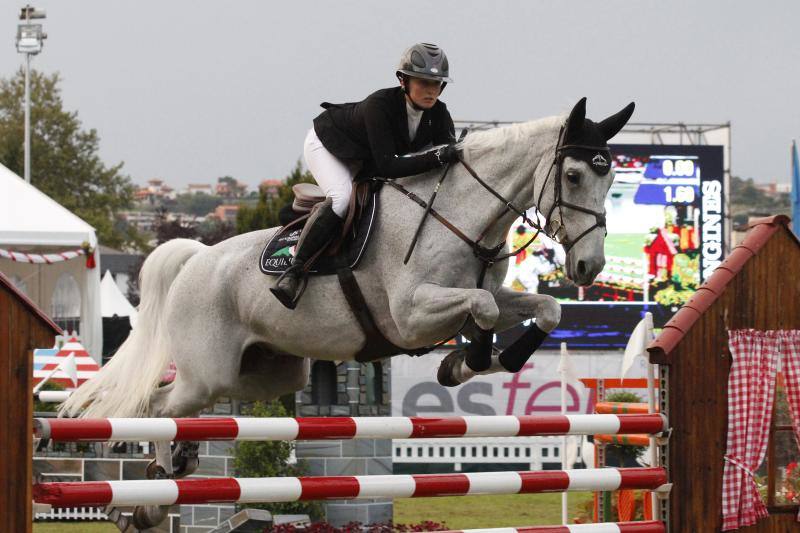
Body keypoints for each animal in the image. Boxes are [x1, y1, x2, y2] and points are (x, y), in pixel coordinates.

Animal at [62, 98, 636, 528]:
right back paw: (153, 494)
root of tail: (197, 258)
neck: (461, 217)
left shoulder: (484, 300)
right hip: (209, 371)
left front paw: (476, 361)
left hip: (266, 374)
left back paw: (177, 465)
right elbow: (485, 308)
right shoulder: (410, 315)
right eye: (574, 175)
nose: (589, 266)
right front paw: (467, 361)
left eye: (610, 180)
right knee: (160, 406)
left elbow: (545, 308)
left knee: (179, 402)